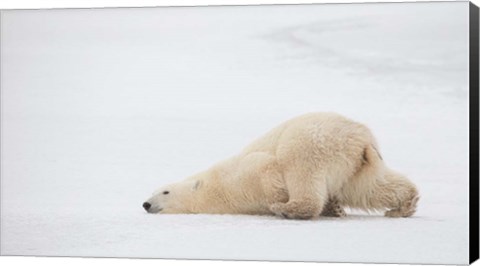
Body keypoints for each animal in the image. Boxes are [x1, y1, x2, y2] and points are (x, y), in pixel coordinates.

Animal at [143, 113, 420, 219]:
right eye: (151, 191)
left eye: (164, 191)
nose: (145, 204)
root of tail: (360, 136)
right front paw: (335, 208)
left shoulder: (244, 173)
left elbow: (267, 168)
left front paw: (278, 199)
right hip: (355, 165)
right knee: (368, 188)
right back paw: (402, 207)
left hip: (312, 142)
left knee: (301, 171)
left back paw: (288, 208)